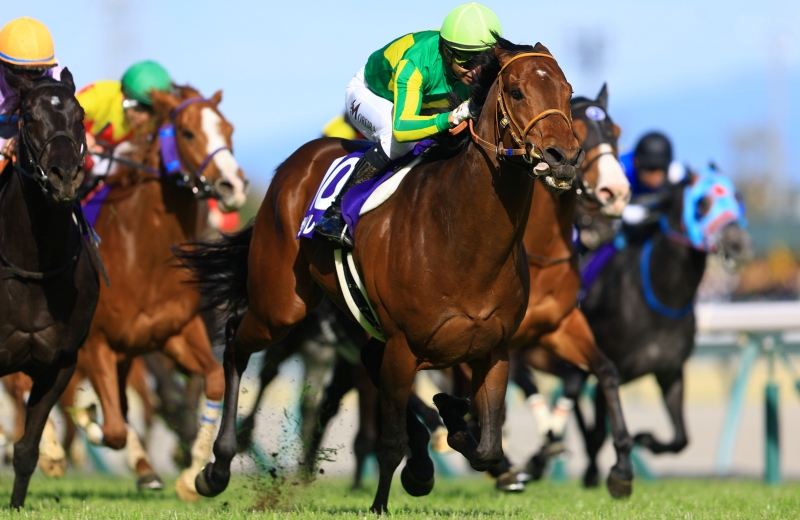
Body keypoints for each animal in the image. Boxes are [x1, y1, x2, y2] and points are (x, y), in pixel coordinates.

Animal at [68, 84, 248, 500]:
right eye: (187, 132)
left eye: (229, 129)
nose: (233, 186)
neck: (140, 260)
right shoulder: (95, 344)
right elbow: (113, 428)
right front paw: (91, 422)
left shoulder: (175, 332)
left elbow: (213, 380)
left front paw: (191, 473)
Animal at [178, 38, 582, 513]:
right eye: (517, 92)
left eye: (567, 92)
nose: (563, 159)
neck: (463, 236)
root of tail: (292, 164)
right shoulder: (405, 346)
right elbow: (389, 442)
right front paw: (380, 503)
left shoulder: (494, 349)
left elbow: (487, 448)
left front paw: (448, 425)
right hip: (281, 305)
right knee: (236, 344)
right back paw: (215, 468)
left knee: (368, 361)